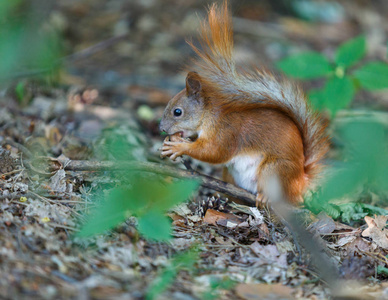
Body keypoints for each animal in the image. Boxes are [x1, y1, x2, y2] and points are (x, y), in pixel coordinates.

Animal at [159, 1, 328, 204]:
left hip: (275, 170)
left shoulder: (227, 131)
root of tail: (302, 181)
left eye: (177, 112)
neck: (210, 115)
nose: (161, 128)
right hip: (230, 173)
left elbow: (214, 152)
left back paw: (265, 197)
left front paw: (179, 147)